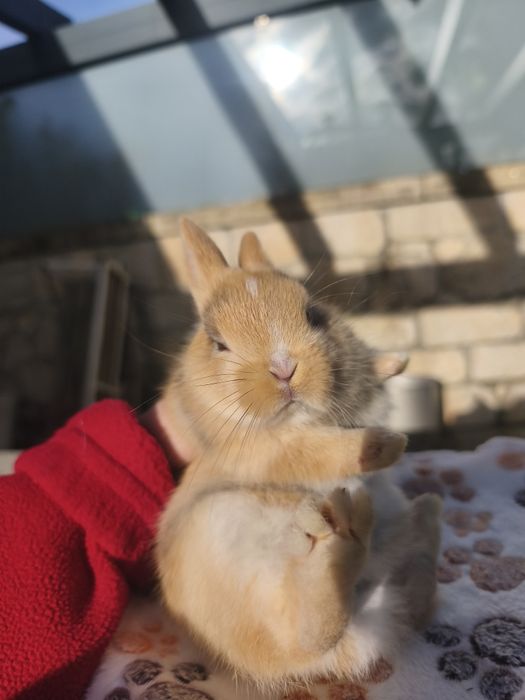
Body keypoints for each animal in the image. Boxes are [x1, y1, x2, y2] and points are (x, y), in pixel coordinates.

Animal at [155, 219, 440, 688]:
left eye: (313, 314)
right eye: (218, 344)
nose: (284, 369)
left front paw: (395, 363)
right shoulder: (269, 452)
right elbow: (321, 450)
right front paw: (385, 444)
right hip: (223, 538)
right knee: (301, 633)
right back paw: (345, 536)